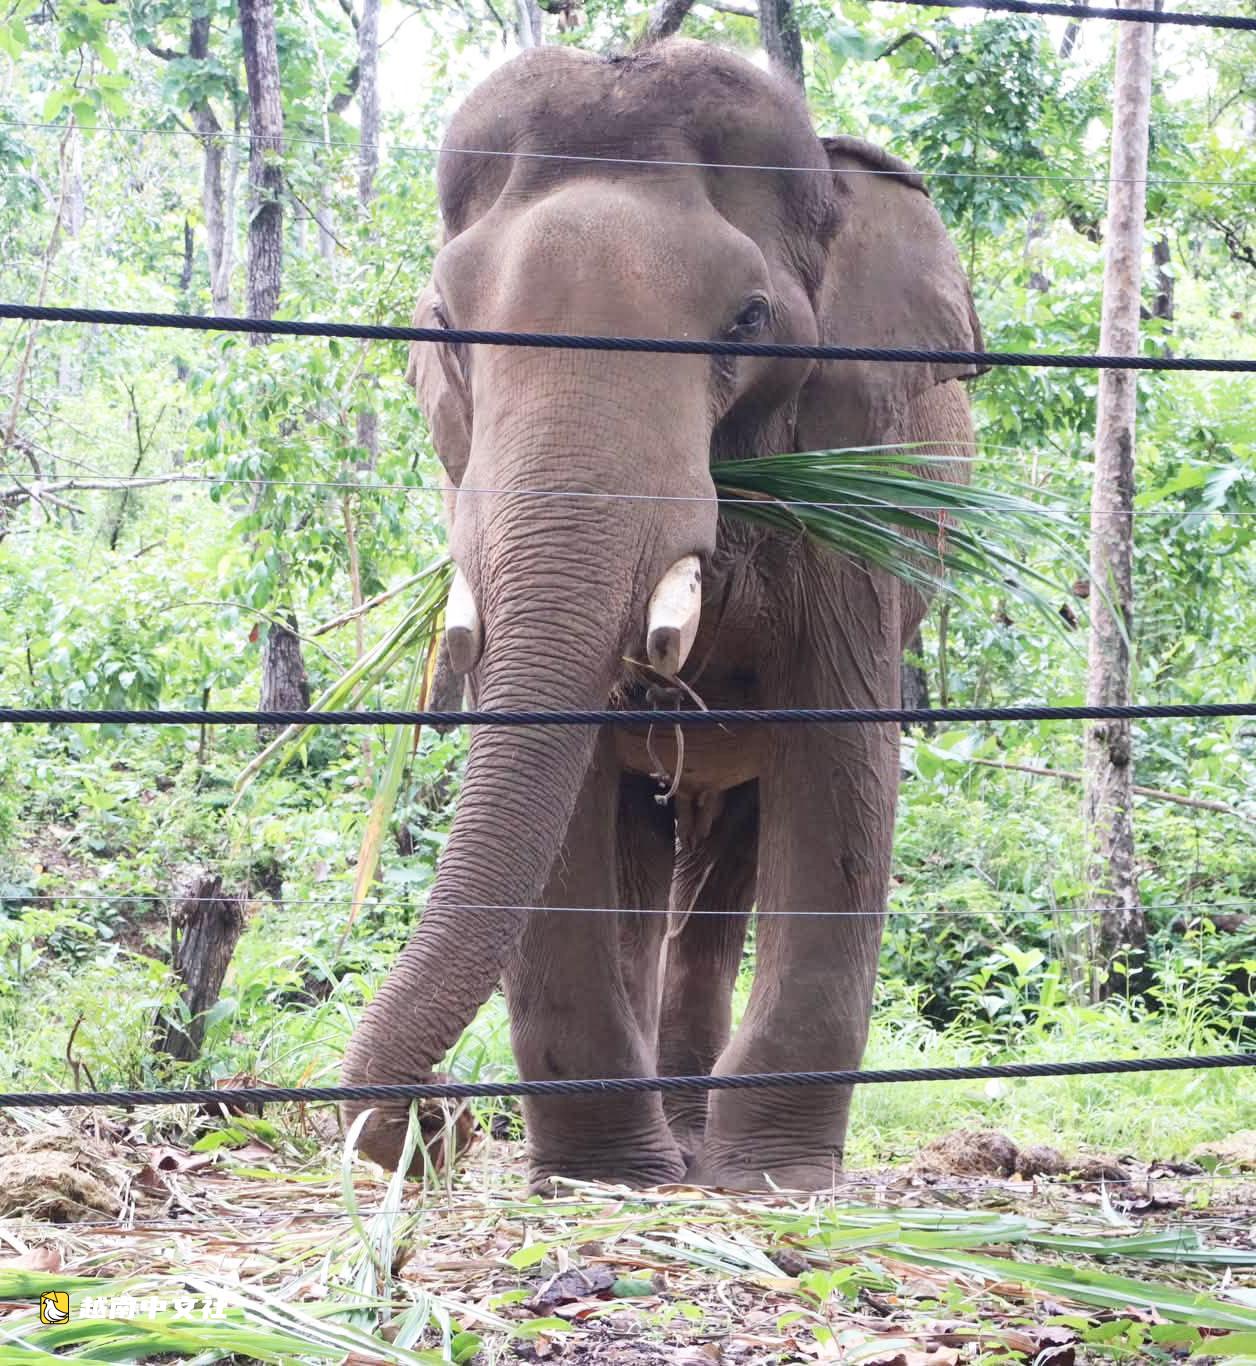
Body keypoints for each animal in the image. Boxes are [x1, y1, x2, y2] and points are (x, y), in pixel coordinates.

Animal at [342, 37, 982, 1192]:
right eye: (449, 327)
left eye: (748, 319)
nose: (439, 1120)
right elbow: (570, 799)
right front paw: (605, 1176)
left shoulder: (854, 502)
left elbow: (844, 769)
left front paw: (771, 1177)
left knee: (731, 853)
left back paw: (695, 1136)